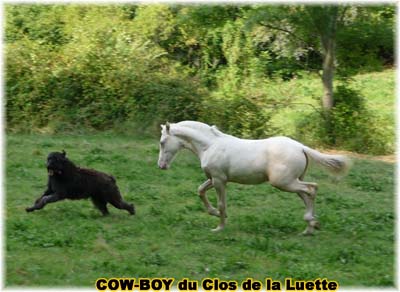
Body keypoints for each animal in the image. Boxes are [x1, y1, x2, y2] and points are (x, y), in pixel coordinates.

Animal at [157, 120, 350, 234]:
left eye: (162, 142)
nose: (161, 166)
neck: (210, 146)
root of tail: (301, 147)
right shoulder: (214, 179)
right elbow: (200, 191)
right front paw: (214, 214)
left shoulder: (219, 180)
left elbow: (221, 204)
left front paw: (219, 227)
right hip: (292, 181)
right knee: (307, 194)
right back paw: (310, 227)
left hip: (283, 182)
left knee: (312, 188)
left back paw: (311, 222)